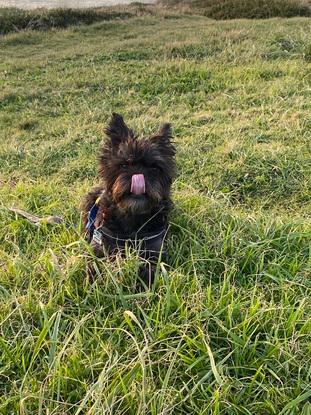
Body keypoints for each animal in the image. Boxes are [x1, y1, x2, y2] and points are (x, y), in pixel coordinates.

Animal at [81, 114, 177, 290]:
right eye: (124, 165)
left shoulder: (154, 250)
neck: (132, 216)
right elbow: (92, 263)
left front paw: (143, 286)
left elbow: (150, 268)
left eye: (154, 167)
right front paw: (90, 281)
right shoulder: (100, 244)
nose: (138, 176)